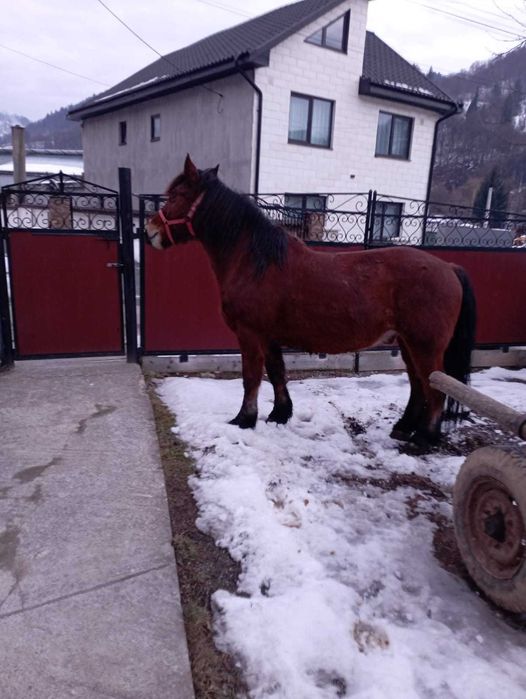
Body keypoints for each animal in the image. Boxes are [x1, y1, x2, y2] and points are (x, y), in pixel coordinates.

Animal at [146, 155, 477, 445]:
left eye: (176, 195)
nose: (150, 230)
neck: (255, 261)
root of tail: (448, 267)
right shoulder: (268, 336)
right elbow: (277, 373)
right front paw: (279, 415)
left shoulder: (250, 334)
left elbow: (251, 377)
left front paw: (244, 419)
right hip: (407, 344)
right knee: (418, 386)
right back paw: (404, 427)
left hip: (425, 346)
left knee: (435, 390)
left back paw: (425, 437)